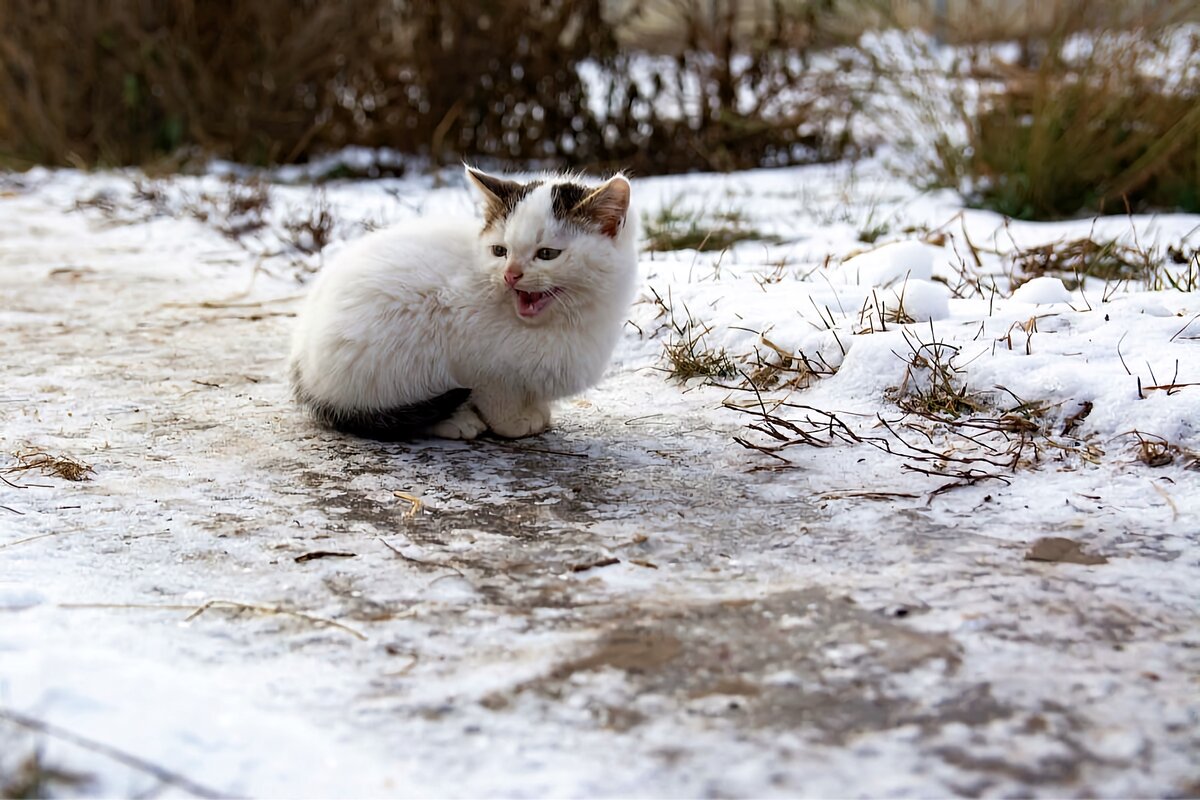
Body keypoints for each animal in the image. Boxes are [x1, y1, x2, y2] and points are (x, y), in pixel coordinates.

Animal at [288, 166, 638, 441]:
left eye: (548, 254)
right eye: (500, 251)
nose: (511, 275)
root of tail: (305, 371)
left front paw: (536, 409)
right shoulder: (477, 357)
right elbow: (496, 392)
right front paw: (516, 420)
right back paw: (456, 421)